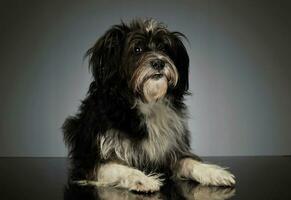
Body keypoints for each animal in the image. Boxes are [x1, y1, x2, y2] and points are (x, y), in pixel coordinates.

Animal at [62, 18, 236, 192]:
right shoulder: (88, 163)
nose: (159, 62)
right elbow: (120, 168)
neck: (146, 102)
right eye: (137, 49)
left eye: (163, 47)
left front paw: (214, 172)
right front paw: (142, 179)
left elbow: (190, 162)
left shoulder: (170, 153)